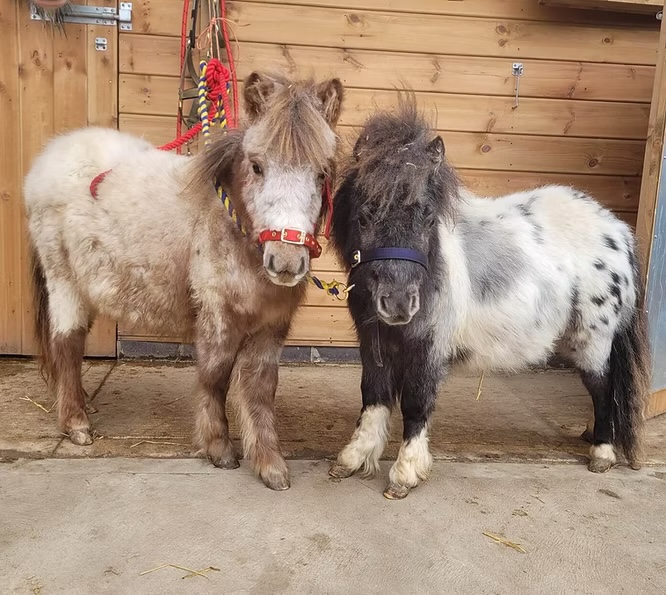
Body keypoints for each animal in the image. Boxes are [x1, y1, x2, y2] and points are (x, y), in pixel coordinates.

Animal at [24, 71, 344, 491]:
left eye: (322, 172)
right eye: (257, 166)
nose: (287, 261)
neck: (231, 226)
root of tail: (49, 158)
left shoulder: (271, 325)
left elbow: (260, 387)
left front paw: (269, 464)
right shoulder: (217, 314)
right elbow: (215, 375)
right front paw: (218, 448)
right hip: (63, 282)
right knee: (67, 344)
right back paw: (76, 423)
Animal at [328, 96, 651, 500]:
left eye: (428, 216)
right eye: (364, 215)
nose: (399, 303)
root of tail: (617, 230)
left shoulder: (429, 347)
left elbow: (416, 403)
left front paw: (405, 475)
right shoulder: (374, 342)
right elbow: (373, 395)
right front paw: (353, 459)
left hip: (593, 337)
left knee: (603, 385)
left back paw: (602, 453)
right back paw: (590, 435)